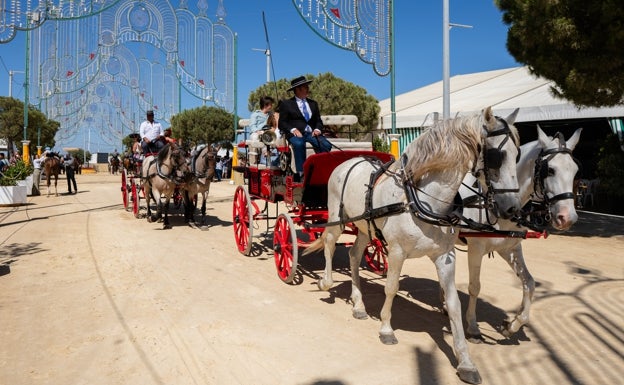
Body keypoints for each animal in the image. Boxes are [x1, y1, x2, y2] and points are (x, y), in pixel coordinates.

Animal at [302, 106, 520, 382]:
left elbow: (453, 303)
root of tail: (349, 160)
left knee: (353, 255)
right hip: (336, 218)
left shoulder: (445, 256)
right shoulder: (396, 252)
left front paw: (466, 361)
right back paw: (326, 282)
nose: (512, 208)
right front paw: (386, 329)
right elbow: (391, 288)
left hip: (364, 227)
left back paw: (359, 303)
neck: (423, 200)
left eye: (518, 154)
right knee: (330, 244)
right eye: (496, 157)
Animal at [460, 125, 584, 340]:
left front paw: (514, 324)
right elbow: (474, 287)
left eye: (575, 170)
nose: (568, 217)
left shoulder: (510, 247)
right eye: (550, 170)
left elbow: (529, 283)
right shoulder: (475, 247)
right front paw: (473, 326)